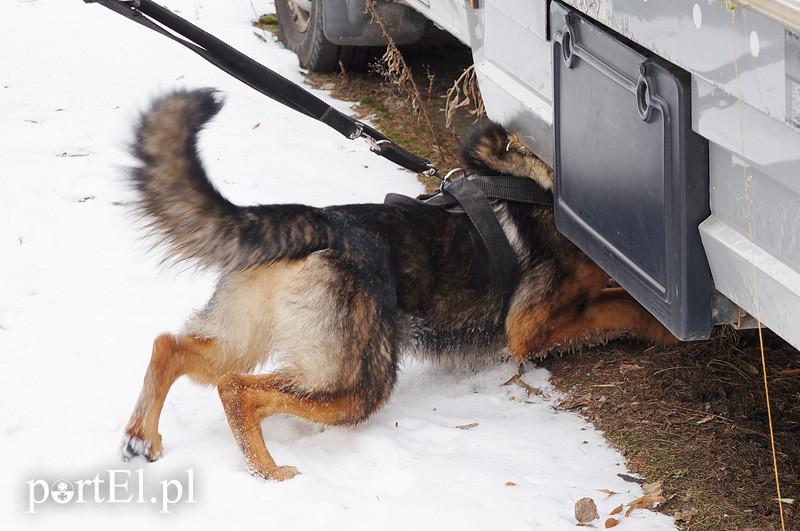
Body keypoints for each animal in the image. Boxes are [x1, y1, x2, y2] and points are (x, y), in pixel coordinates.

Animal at [122, 89, 676, 480]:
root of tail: (320, 223)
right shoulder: (532, 327)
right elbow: (617, 307)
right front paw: (661, 328)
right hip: (358, 381)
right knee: (238, 389)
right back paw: (269, 473)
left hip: (245, 337)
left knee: (171, 347)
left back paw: (143, 436)